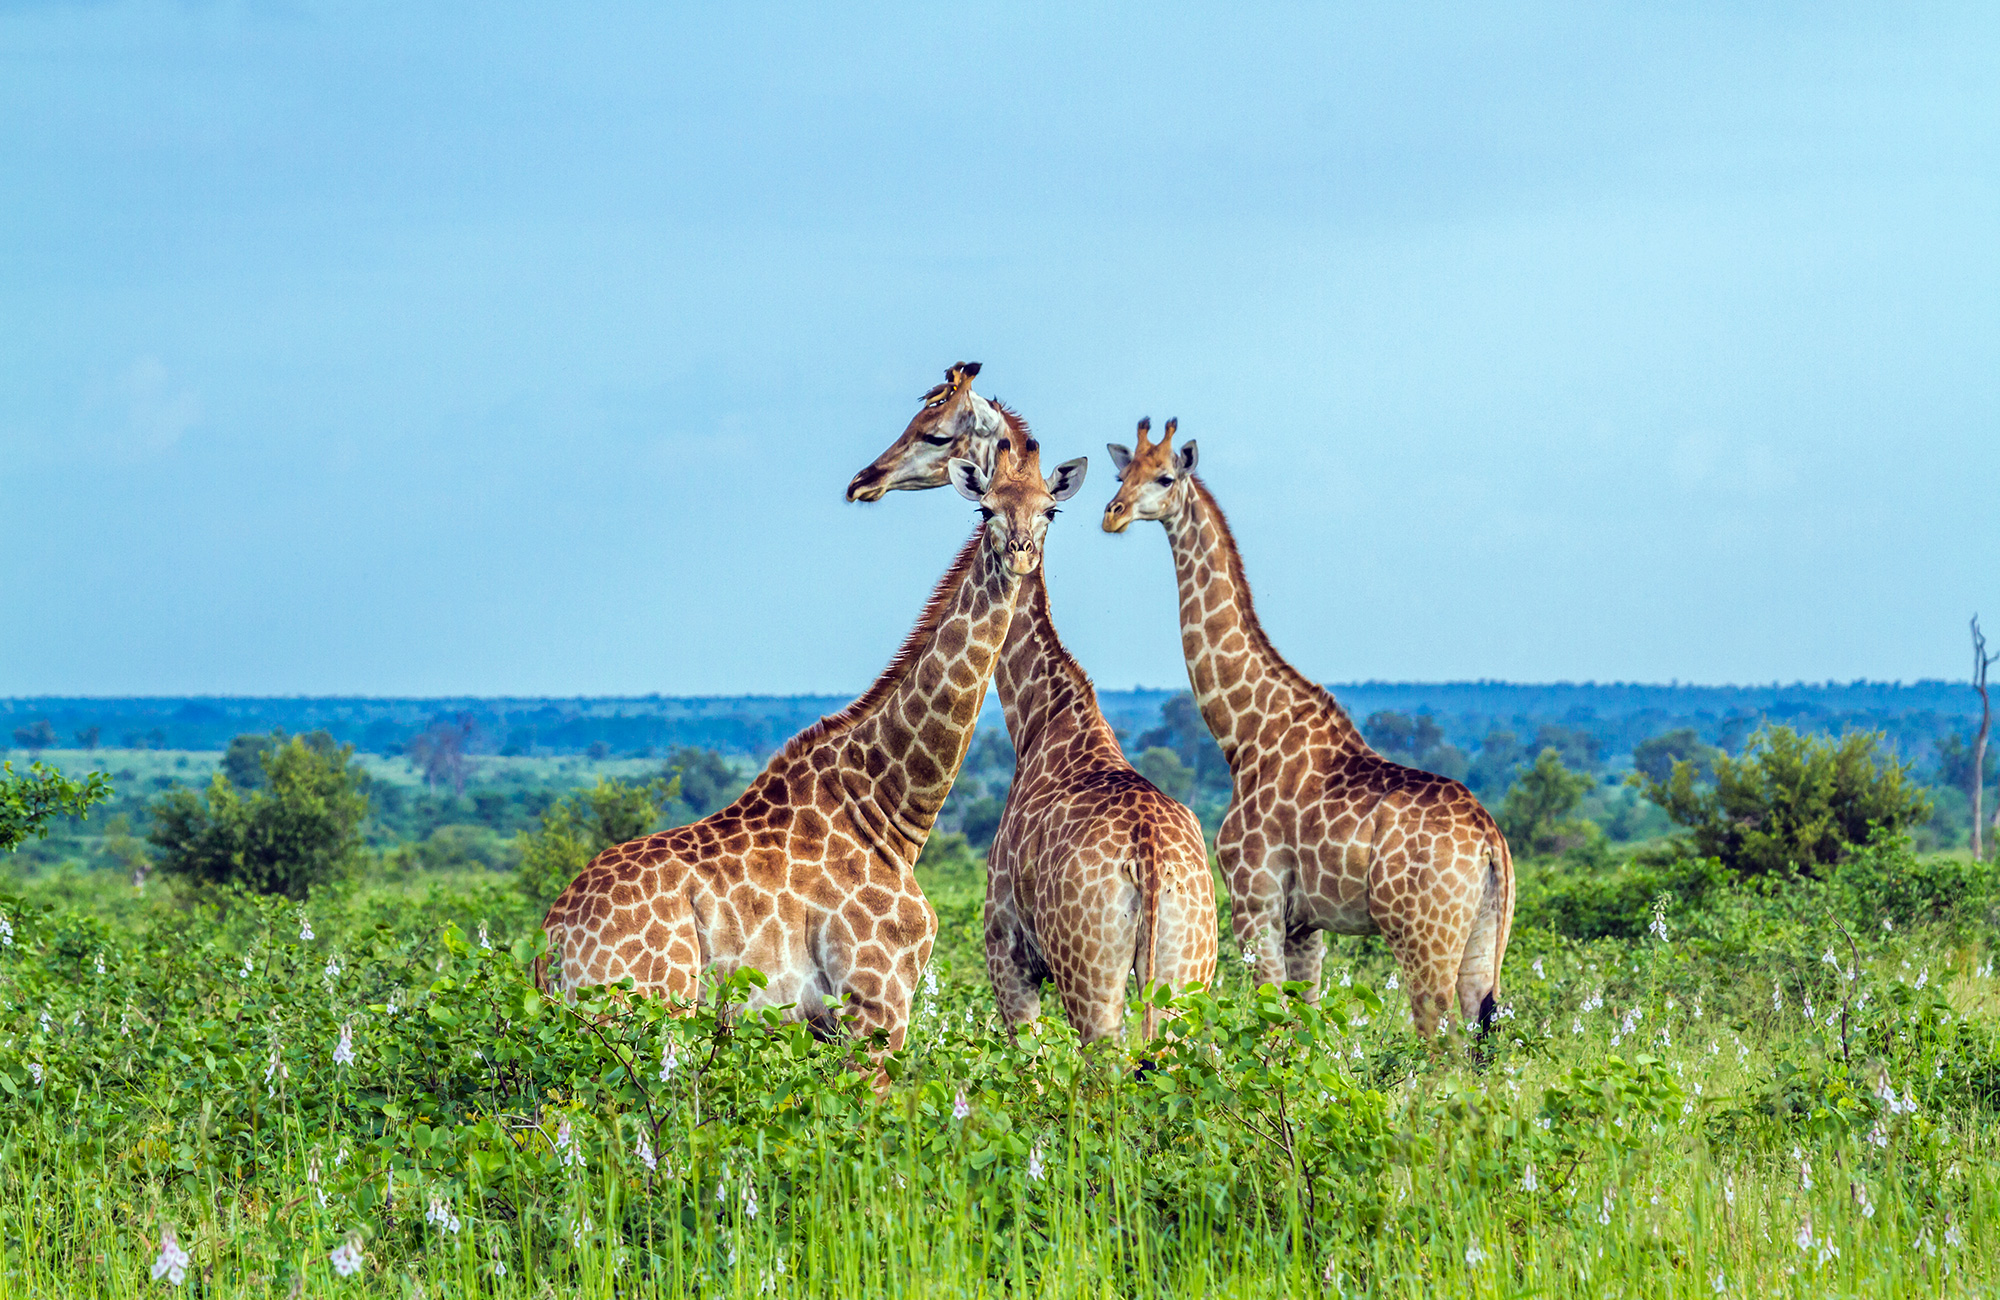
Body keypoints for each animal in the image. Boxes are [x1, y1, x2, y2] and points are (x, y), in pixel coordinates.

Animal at [538, 434, 1086, 1062]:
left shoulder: (822, 1022)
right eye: (985, 509)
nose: (1020, 554)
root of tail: (551, 941)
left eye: (1050, 510)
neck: (887, 809)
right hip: (642, 1011)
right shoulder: (877, 999)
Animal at [847, 374, 1218, 1044]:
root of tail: (1149, 860)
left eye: (933, 431)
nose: (867, 479)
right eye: (989, 506)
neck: (1043, 718)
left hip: (1090, 978)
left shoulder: (1007, 953)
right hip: (1187, 975)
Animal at [1102, 418, 1514, 1037]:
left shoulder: (1255, 901)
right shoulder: (1305, 923)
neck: (1244, 734)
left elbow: (1271, 1021)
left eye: (1165, 476)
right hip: (1484, 936)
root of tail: (1491, 842)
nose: (1113, 513)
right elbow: (1304, 1025)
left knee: (1442, 1038)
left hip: (1422, 935)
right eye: (1121, 473)